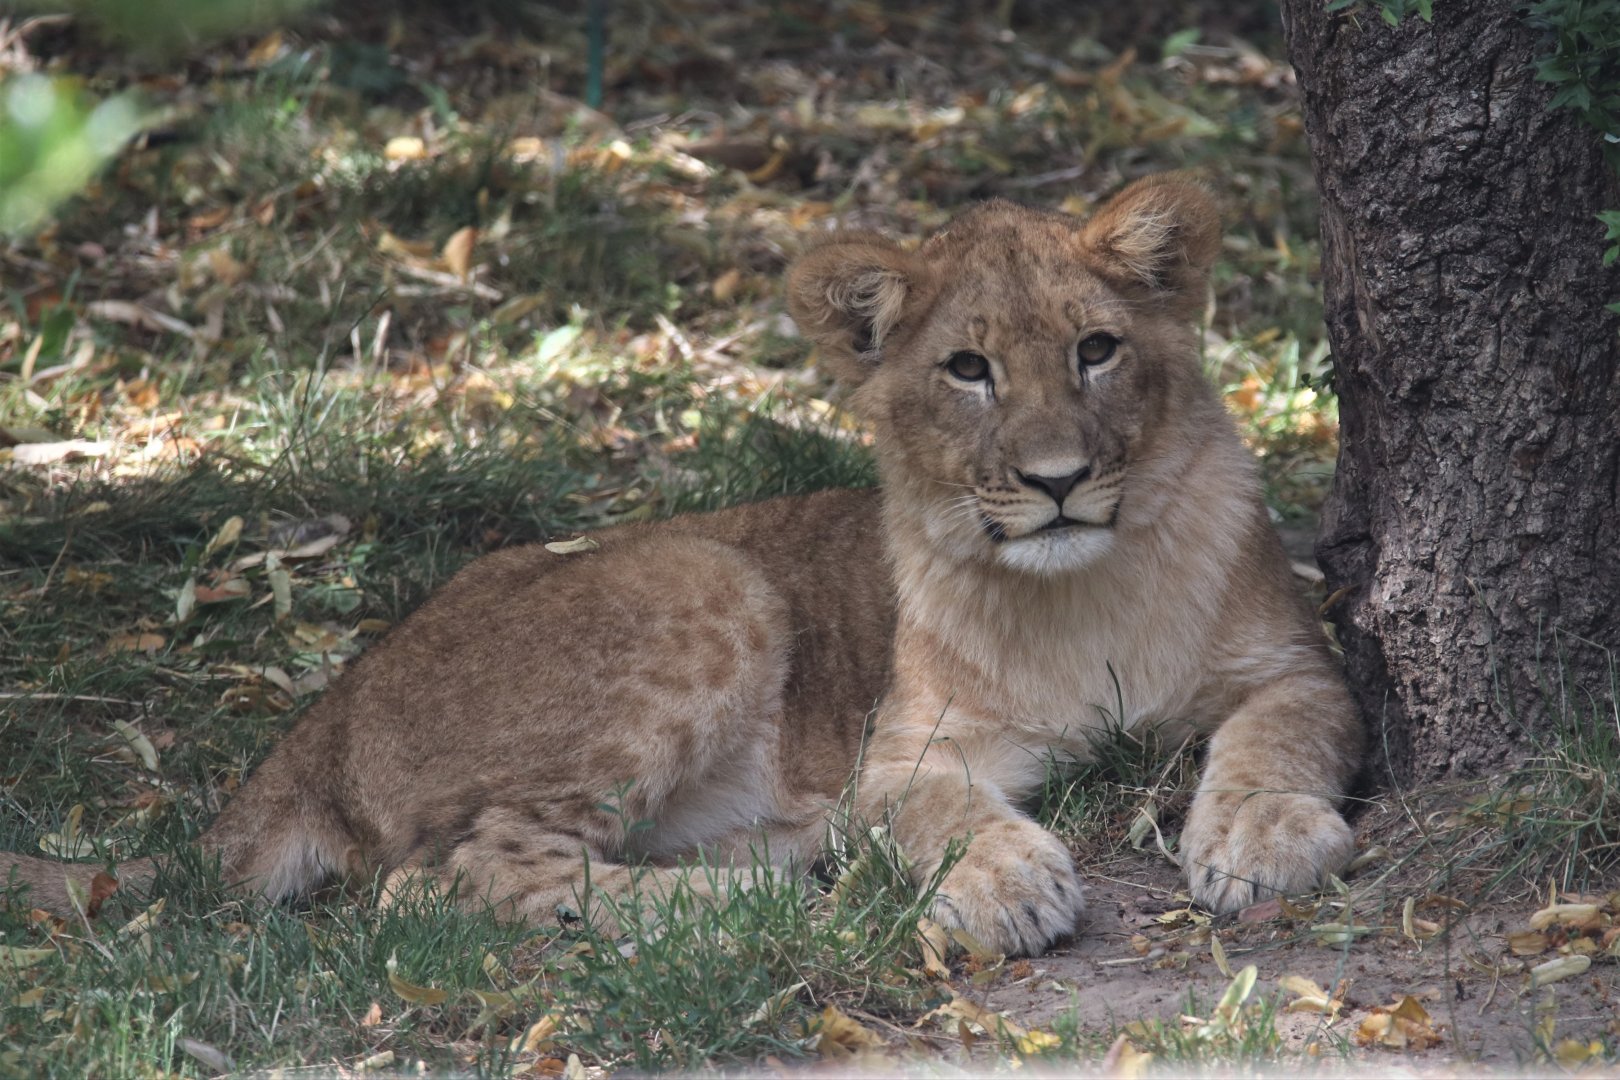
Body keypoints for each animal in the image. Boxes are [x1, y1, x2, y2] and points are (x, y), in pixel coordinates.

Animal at [4, 176, 1361, 957]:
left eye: (1096, 350)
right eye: (968, 369)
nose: (1058, 480)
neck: (1084, 589)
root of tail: (316, 726)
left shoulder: (1299, 661)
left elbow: (1276, 739)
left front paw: (1259, 839)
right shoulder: (911, 747)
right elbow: (939, 810)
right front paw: (1004, 882)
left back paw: (778, 862)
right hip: (704, 578)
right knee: (450, 880)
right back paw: (744, 906)